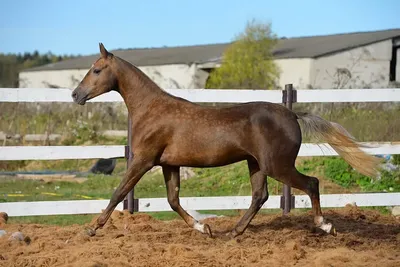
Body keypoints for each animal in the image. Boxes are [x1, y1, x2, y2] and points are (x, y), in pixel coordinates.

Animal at [72, 43, 382, 239]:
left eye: (97, 70)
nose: (76, 95)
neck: (151, 110)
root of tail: (293, 114)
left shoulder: (143, 160)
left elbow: (118, 193)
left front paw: (91, 228)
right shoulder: (169, 164)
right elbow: (173, 200)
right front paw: (204, 229)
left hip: (277, 165)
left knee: (311, 183)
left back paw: (325, 226)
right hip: (257, 165)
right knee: (260, 196)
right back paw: (233, 231)